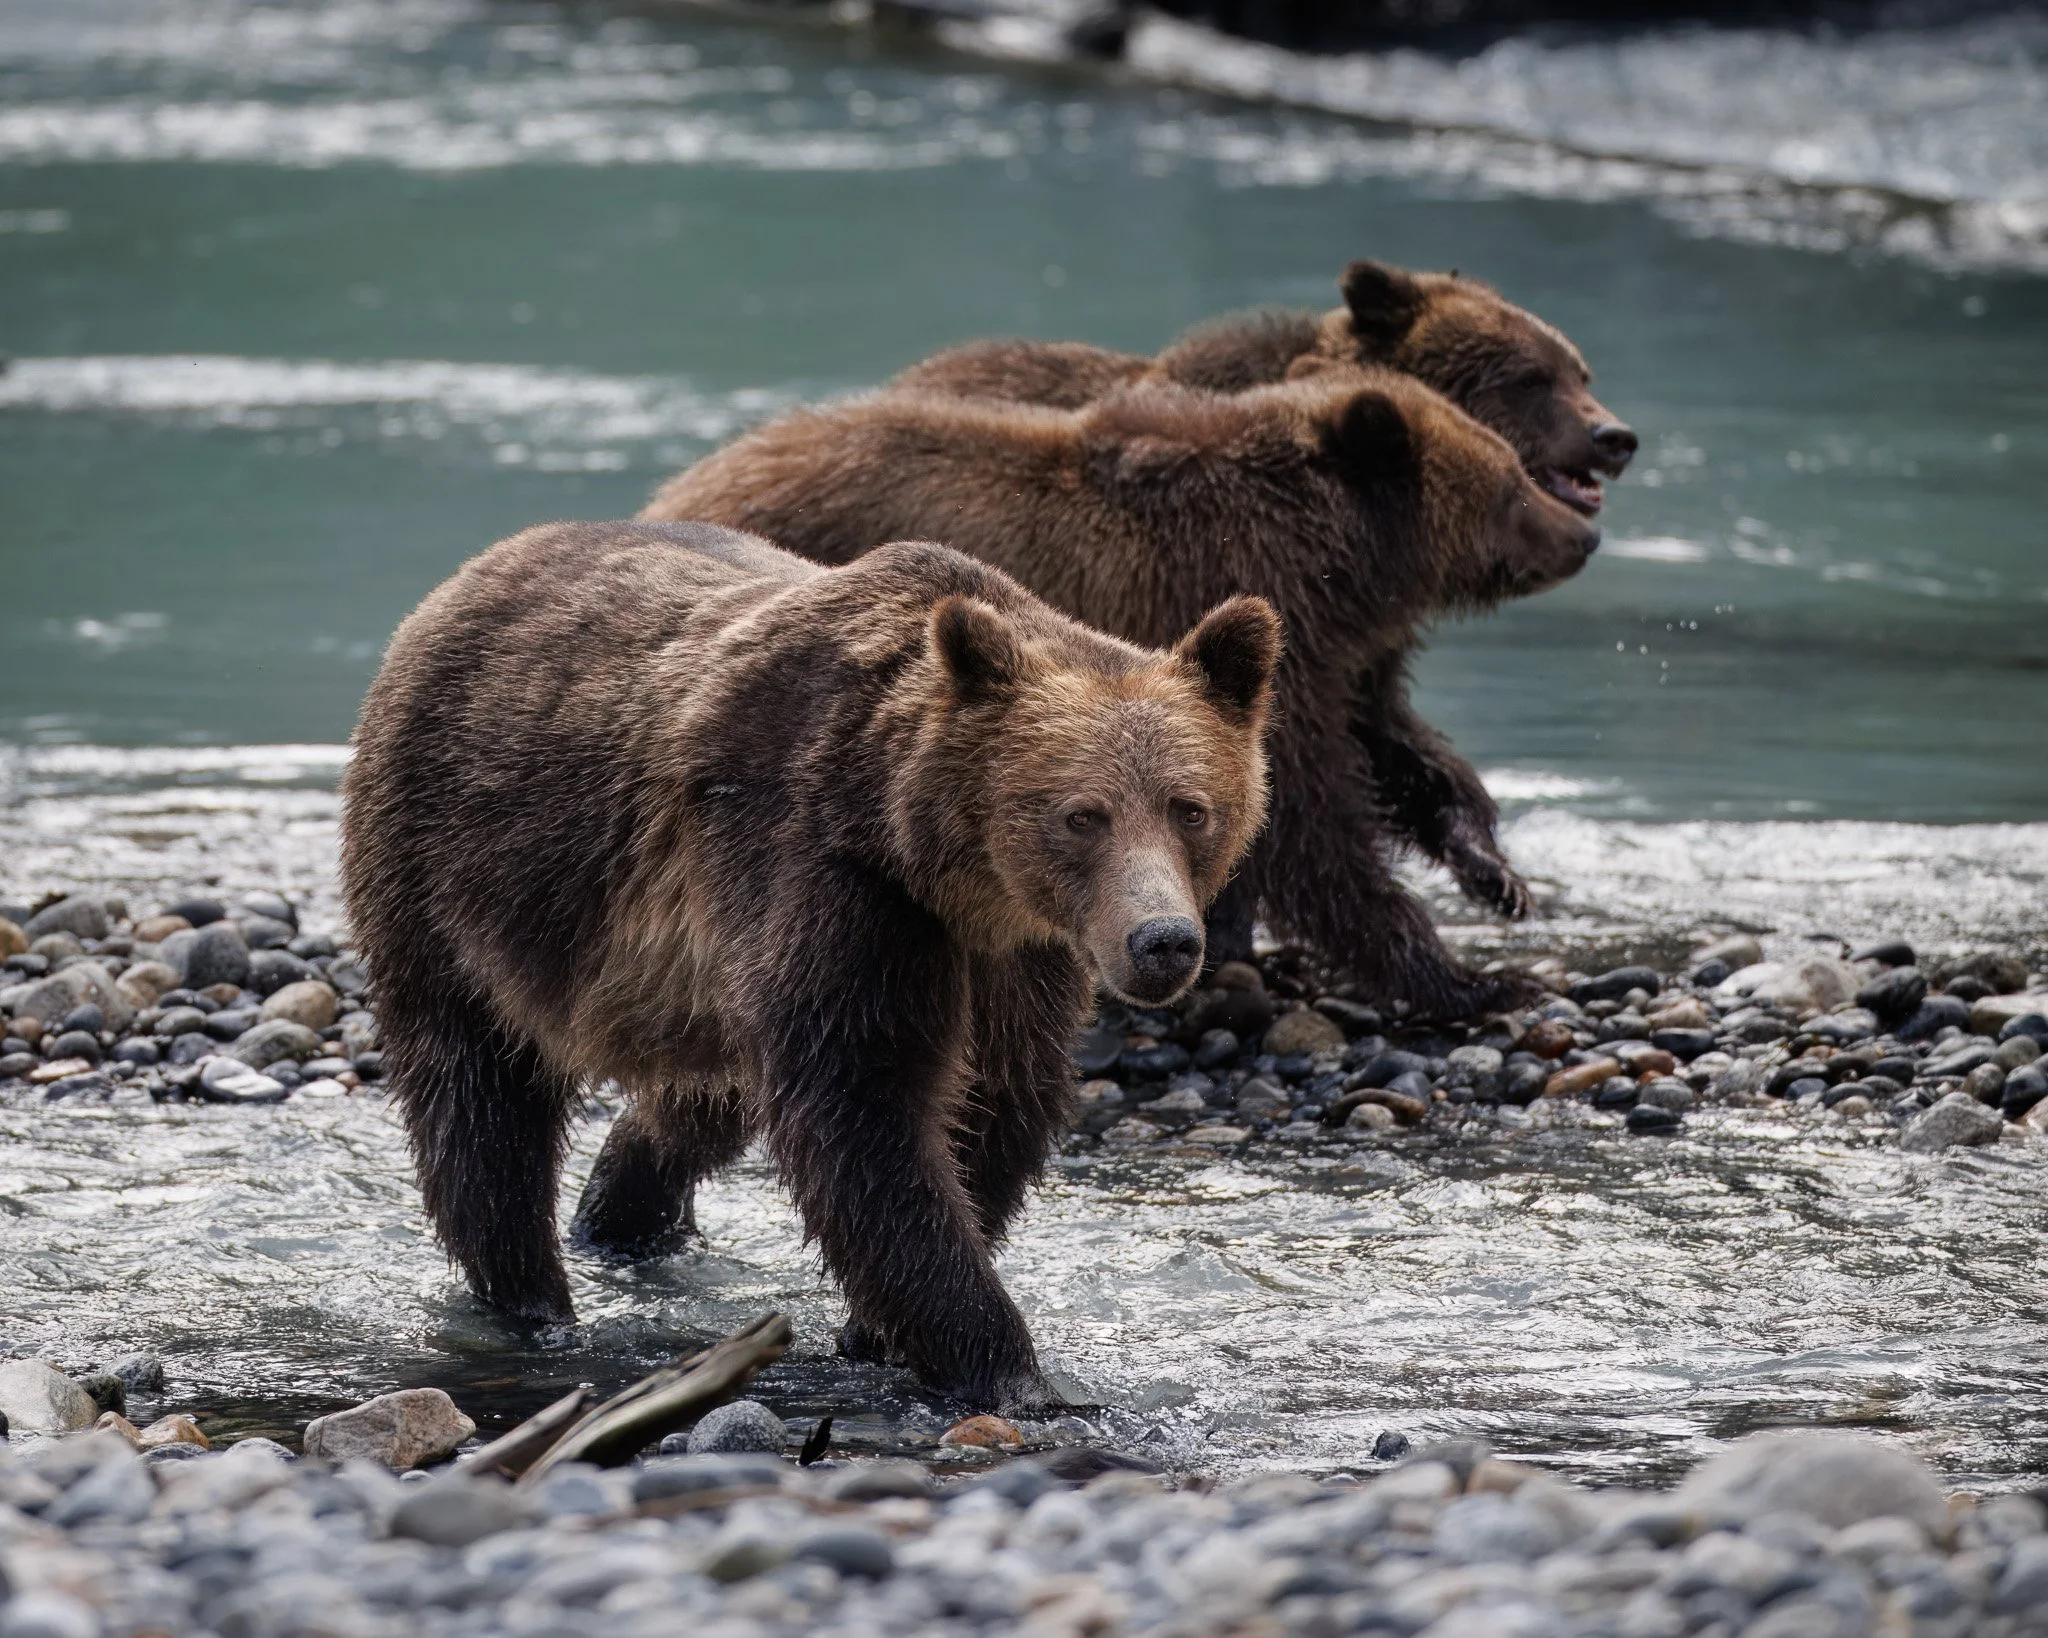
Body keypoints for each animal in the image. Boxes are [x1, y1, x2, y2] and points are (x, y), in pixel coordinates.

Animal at [340, 519, 1280, 1410]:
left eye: (1190, 808)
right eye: (1083, 815)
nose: (1162, 939)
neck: (933, 861)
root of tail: (470, 578)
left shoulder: (1012, 955)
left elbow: (994, 1101)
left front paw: (883, 1331)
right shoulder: (828, 877)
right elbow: (865, 1109)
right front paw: (1011, 1370)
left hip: (681, 983)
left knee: (704, 1100)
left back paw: (620, 1217)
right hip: (459, 865)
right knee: (480, 1101)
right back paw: (534, 1300)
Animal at [640, 365, 1599, 1017]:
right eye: (1513, 480)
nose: (1583, 534)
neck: (1337, 565)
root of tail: (679, 488)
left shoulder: (1330, 659)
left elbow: (1393, 745)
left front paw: (1492, 869)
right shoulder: (1248, 629)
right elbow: (1315, 828)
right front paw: (1474, 978)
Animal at [883, 259, 1636, 921]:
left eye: (1579, 369)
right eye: (1531, 378)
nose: (1615, 435)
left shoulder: (1359, 643)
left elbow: (1384, 736)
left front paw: (1489, 864)